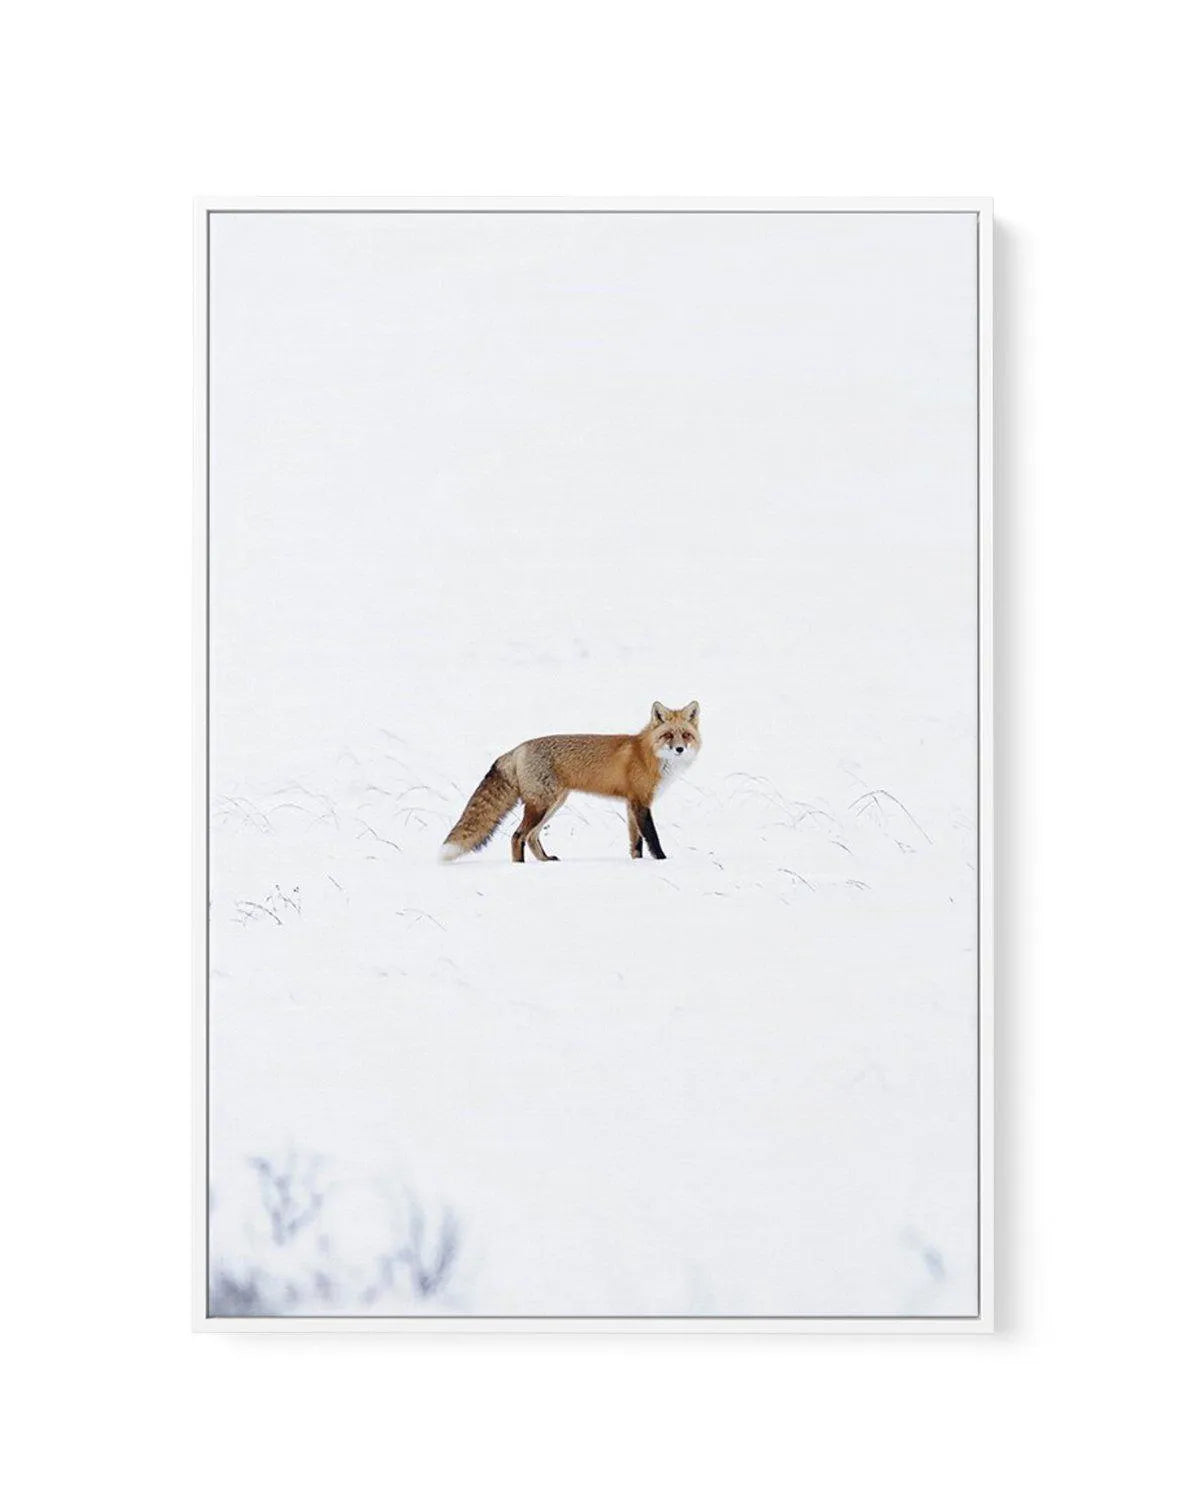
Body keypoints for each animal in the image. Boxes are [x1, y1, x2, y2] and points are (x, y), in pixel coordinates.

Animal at [440, 701, 701, 863]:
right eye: (668, 735)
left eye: (686, 735)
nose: (679, 749)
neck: (647, 754)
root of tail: (517, 749)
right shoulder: (640, 802)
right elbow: (652, 838)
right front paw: (662, 860)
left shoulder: (631, 804)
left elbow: (635, 842)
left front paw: (637, 862)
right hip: (542, 805)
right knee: (517, 836)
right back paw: (520, 867)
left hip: (554, 803)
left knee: (531, 837)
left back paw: (546, 860)